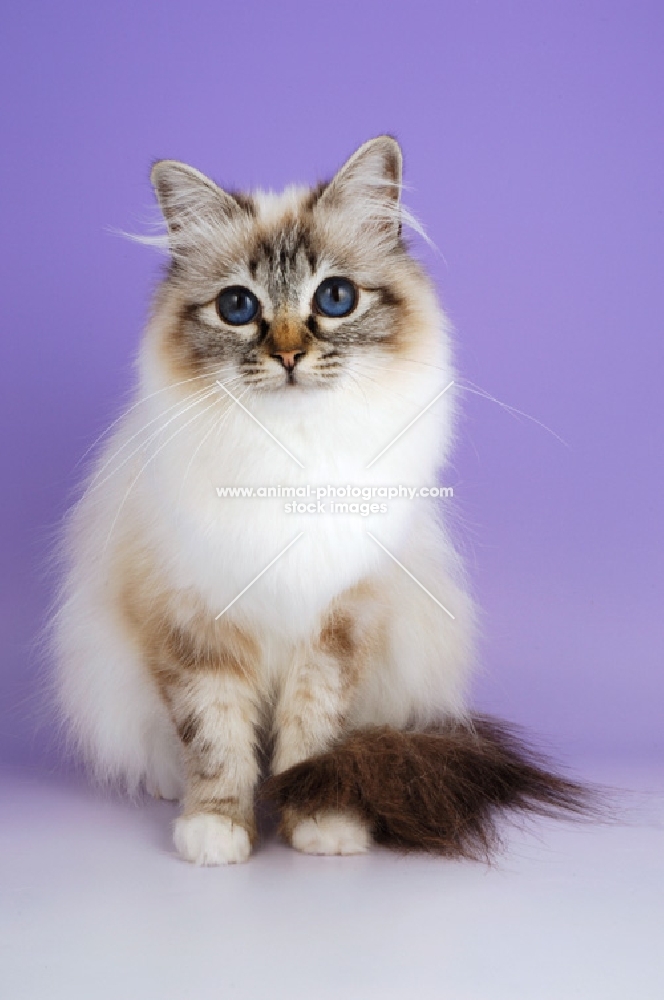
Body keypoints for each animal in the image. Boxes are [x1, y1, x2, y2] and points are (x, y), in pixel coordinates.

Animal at [53, 137, 588, 864]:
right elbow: (216, 740)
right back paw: (172, 792)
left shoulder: (341, 623)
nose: (288, 356)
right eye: (238, 307)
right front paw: (217, 830)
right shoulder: (196, 625)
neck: (292, 459)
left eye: (335, 298)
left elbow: (315, 739)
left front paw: (320, 821)